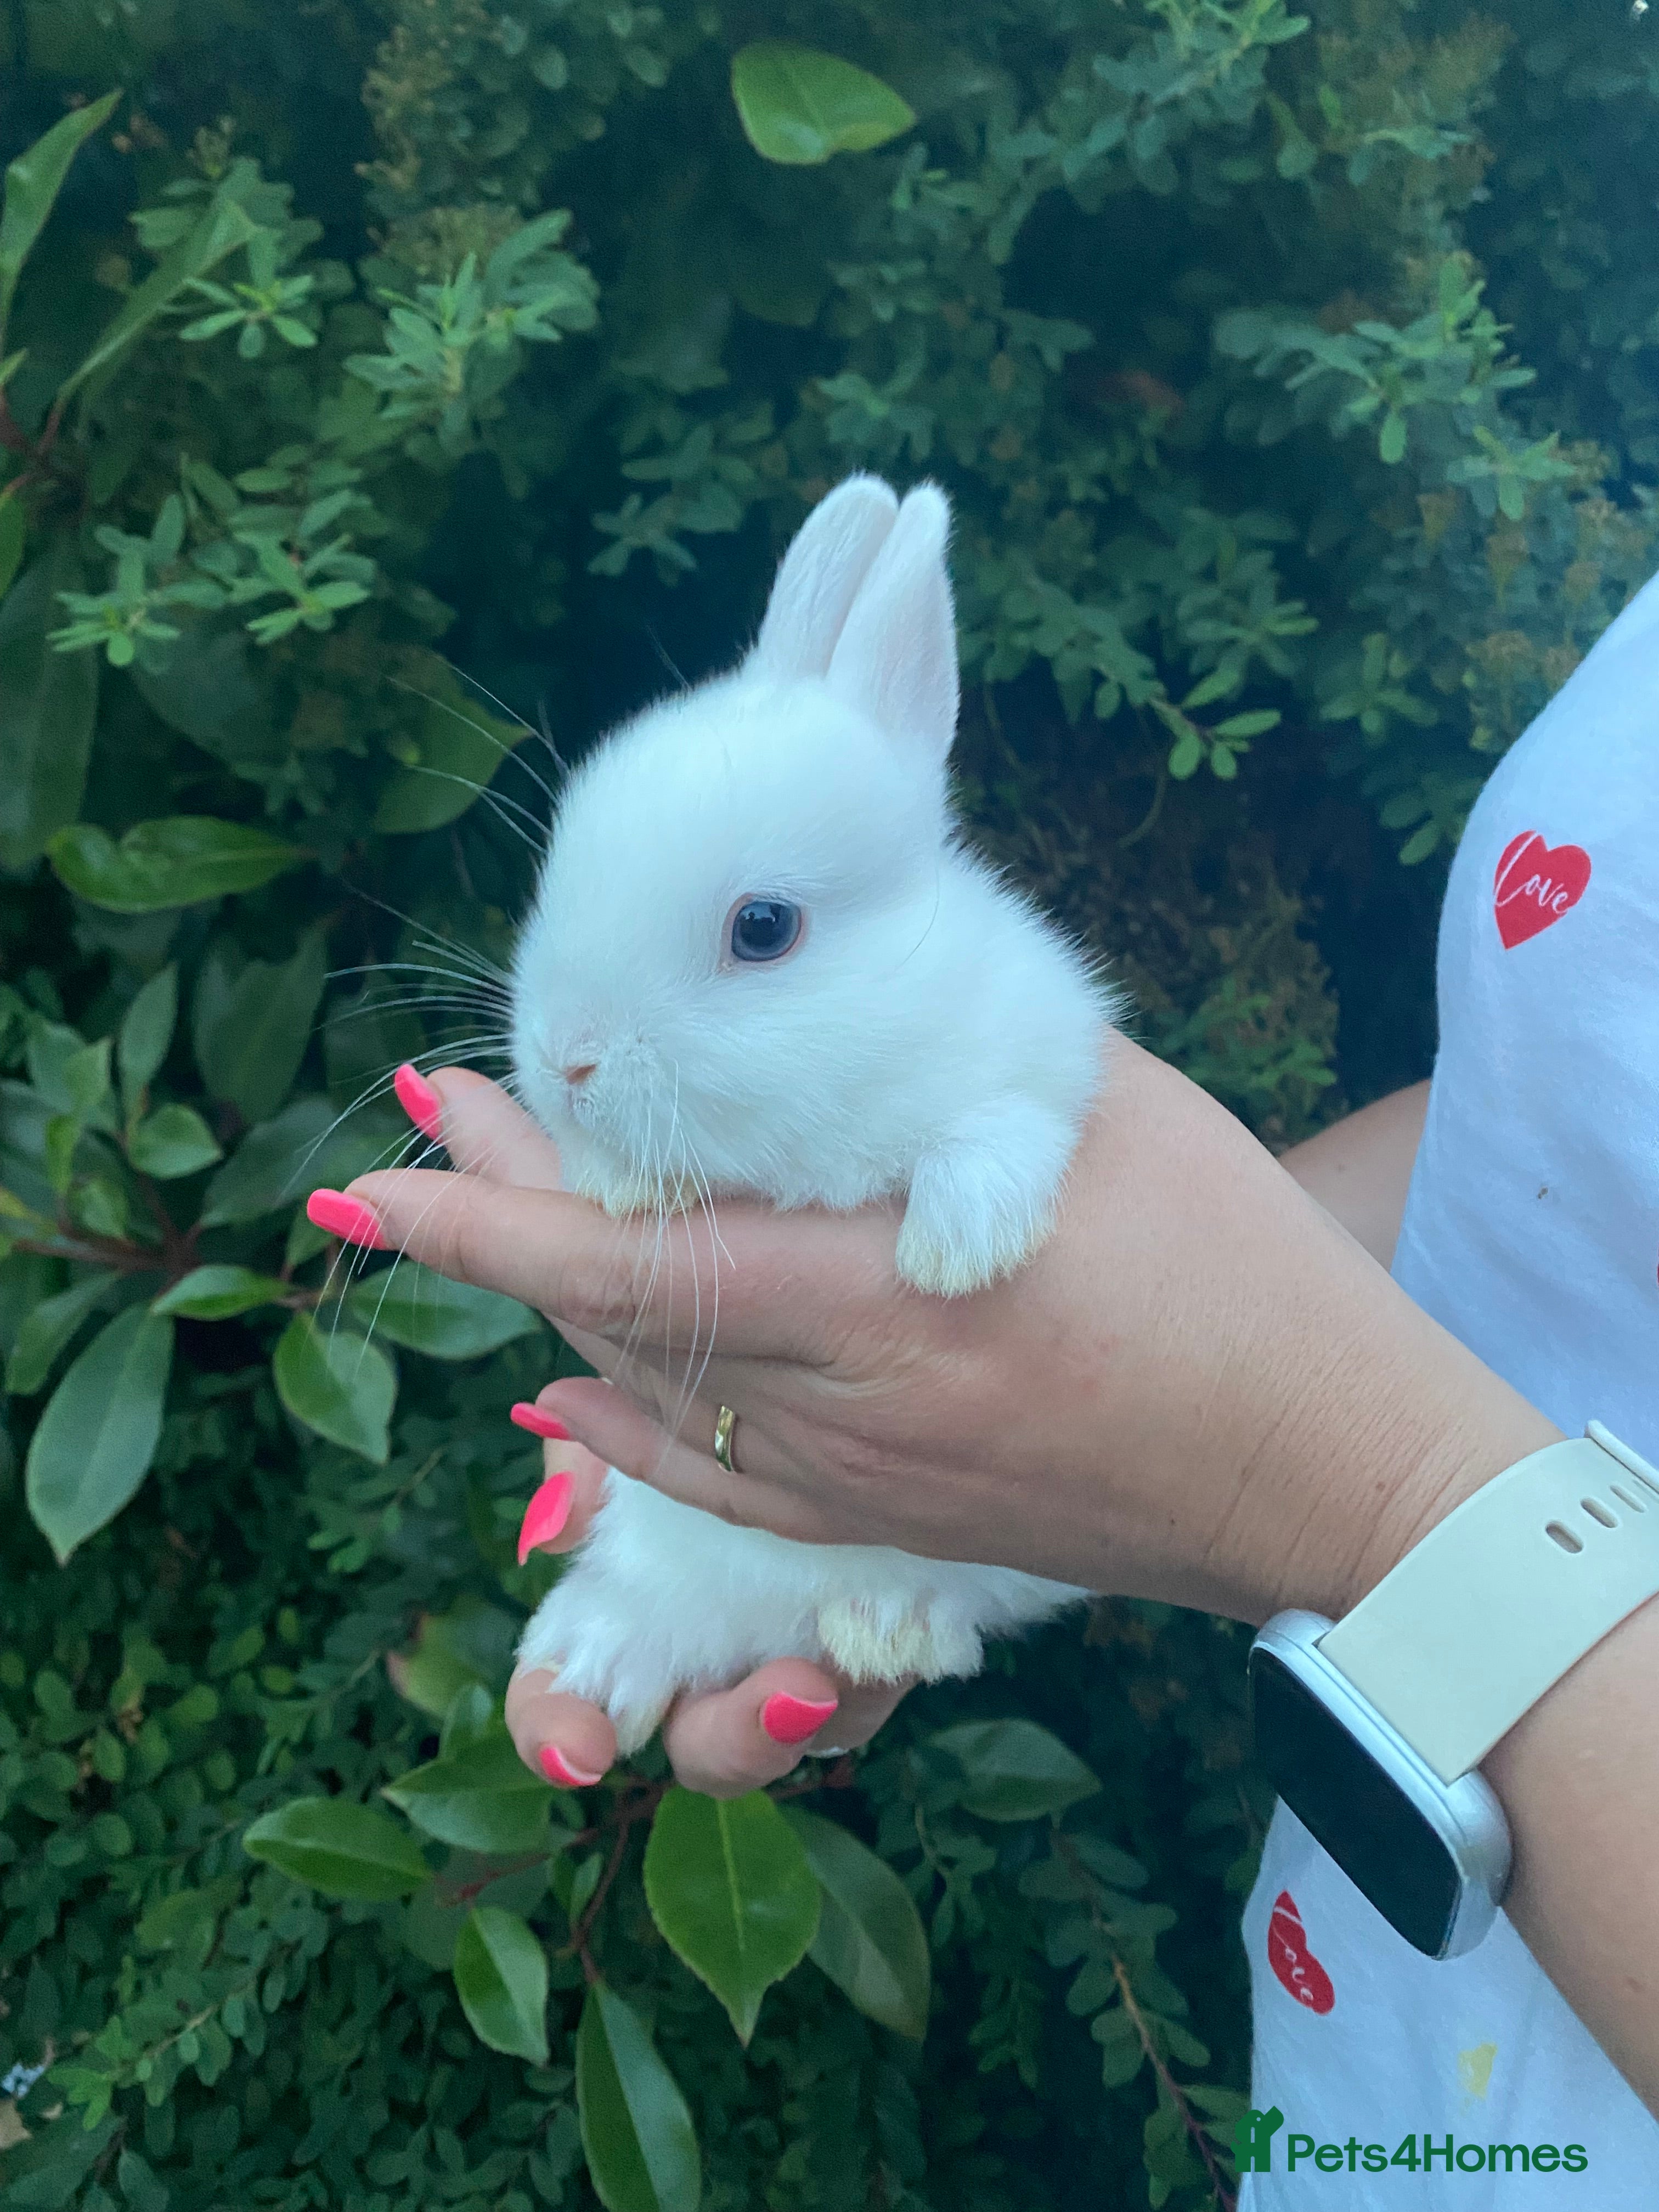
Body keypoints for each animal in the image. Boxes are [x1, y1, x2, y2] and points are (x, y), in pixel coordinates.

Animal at [508, 474, 1119, 1751]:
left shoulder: (1041, 1056)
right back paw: (596, 1660)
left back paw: (892, 1629)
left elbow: (998, 1135)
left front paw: (956, 1253)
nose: (562, 1059)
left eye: (764, 928)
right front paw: (618, 1181)